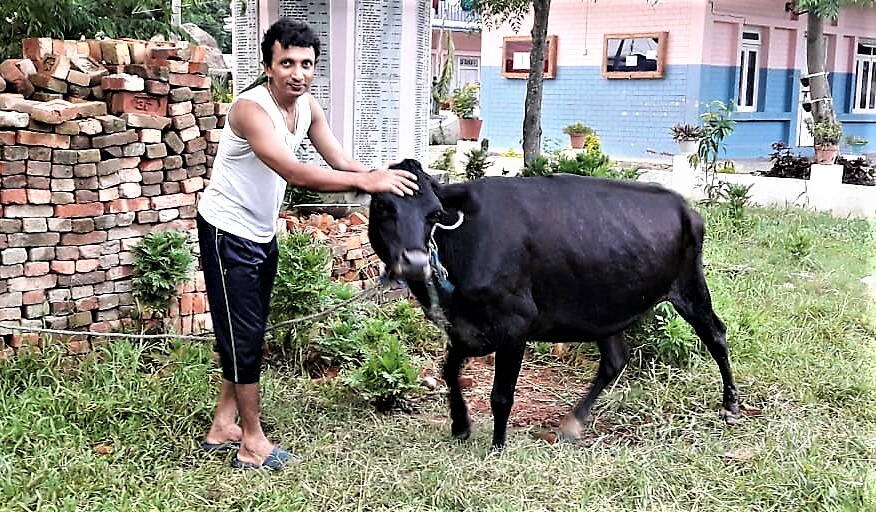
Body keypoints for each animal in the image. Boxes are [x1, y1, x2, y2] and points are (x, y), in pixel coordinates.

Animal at [368, 159, 740, 448]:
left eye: (434, 213)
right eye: (384, 207)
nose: (415, 262)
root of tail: (686, 207)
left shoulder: (515, 324)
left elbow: (501, 394)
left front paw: (497, 447)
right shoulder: (464, 327)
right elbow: (448, 371)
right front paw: (460, 425)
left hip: (689, 288)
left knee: (716, 335)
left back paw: (731, 405)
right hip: (605, 308)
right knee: (614, 361)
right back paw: (573, 422)